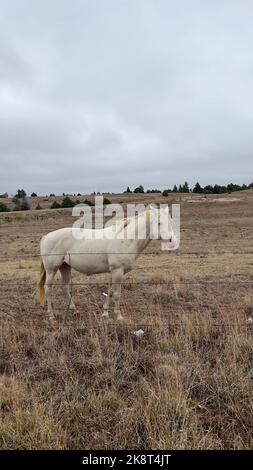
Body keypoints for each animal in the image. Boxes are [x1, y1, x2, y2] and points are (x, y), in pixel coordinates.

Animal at [38, 207, 176, 322]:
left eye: (170, 221)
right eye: (159, 223)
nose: (171, 240)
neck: (126, 239)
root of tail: (46, 236)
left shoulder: (114, 272)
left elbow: (109, 291)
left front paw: (105, 313)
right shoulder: (118, 271)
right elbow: (117, 294)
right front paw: (118, 316)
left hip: (65, 266)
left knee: (65, 287)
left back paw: (74, 311)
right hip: (51, 269)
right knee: (48, 289)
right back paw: (51, 315)